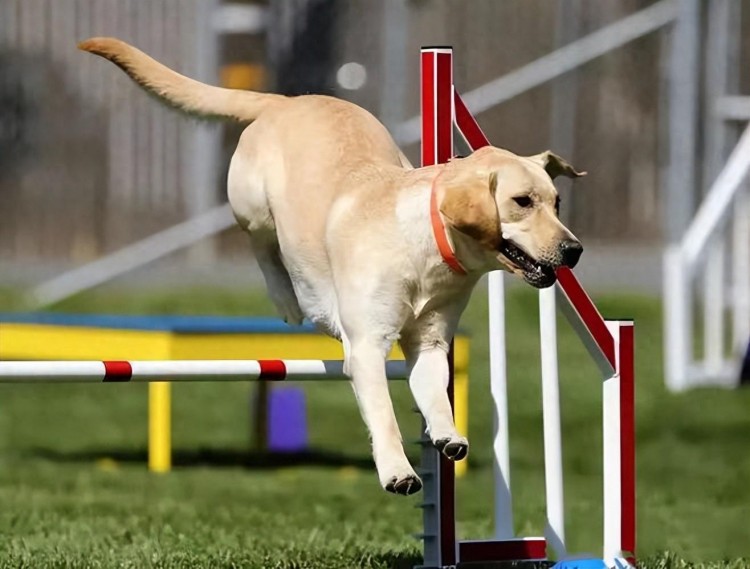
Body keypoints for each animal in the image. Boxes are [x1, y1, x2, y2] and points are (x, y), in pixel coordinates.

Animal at [81, 37, 588, 494]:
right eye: (522, 202)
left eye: (557, 202)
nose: (574, 250)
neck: (427, 245)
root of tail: (286, 101)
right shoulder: (366, 348)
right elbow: (384, 414)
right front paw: (398, 472)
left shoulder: (429, 341)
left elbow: (436, 395)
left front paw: (447, 434)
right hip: (252, 206)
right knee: (262, 248)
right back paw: (288, 300)